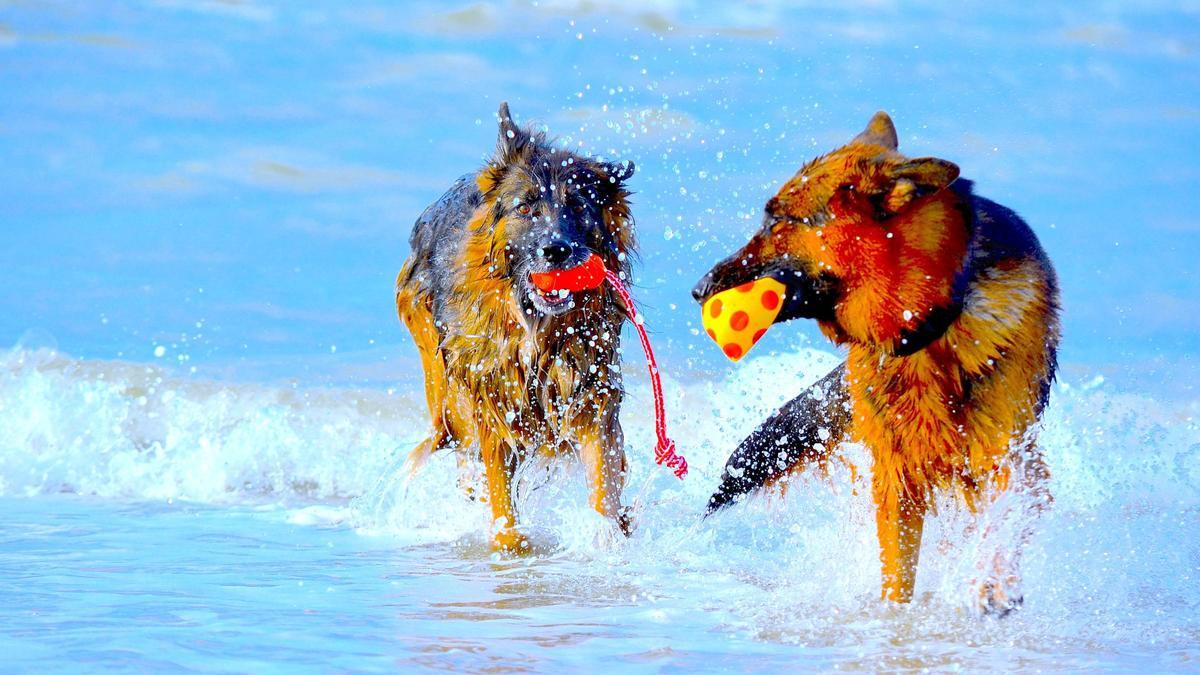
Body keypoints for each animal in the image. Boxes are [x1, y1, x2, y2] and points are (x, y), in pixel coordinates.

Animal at [393, 100, 638, 552]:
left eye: (579, 206)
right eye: (525, 207)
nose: (556, 250)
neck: (538, 330)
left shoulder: (591, 399)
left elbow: (603, 490)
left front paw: (607, 538)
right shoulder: (492, 412)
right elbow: (502, 506)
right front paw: (510, 549)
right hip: (448, 396)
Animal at [696, 112, 1060, 612]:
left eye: (779, 220)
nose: (697, 289)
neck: (924, 328)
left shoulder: (1014, 458)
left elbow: (1004, 519)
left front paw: (992, 580)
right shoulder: (895, 485)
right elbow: (896, 580)